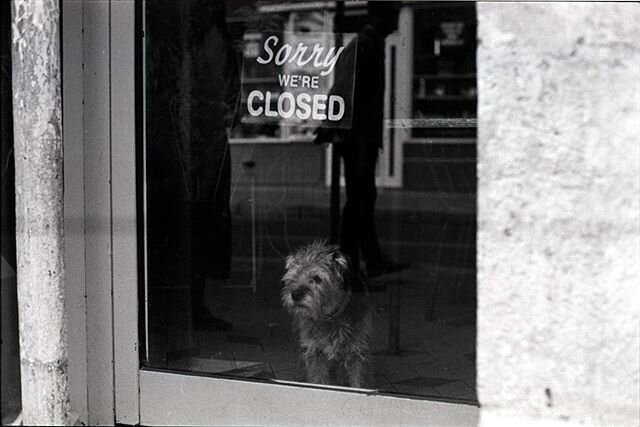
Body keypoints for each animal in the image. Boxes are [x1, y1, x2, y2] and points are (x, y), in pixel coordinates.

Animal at [282, 241, 376, 388]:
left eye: (317, 278)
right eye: (294, 276)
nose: (295, 295)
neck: (331, 316)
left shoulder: (358, 353)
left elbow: (358, 383)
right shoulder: (315, 353)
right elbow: (318, 381)